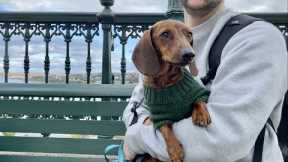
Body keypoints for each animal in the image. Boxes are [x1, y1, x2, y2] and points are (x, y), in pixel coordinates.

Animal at [132, 19, 210, 162]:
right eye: (165, 34)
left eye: (189, 34)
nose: (189, 54)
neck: (167, 81)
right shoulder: (158, 117)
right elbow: (165, 129)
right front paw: (175, 150)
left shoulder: (198, 93)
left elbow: (198, 100)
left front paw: (201, 114)